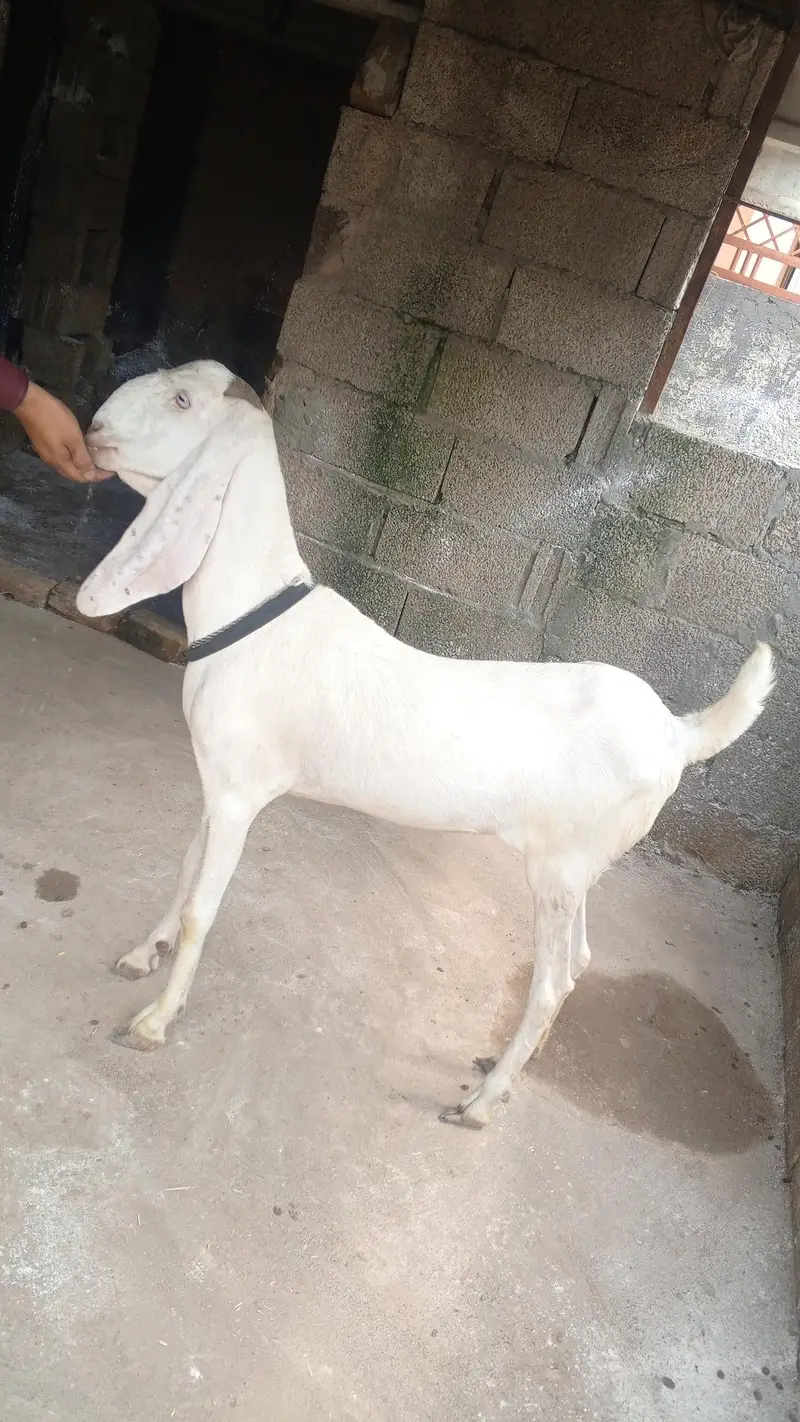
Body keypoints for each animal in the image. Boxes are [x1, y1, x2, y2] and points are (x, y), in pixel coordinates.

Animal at [76, 360, 774, 1128]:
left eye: (181, 400)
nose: (94, 428)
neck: (254, 613)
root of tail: (679, 733)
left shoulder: (240, 795)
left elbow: (204, 908)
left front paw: (154, 1022)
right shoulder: (216, 780)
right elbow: (184, 869)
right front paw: (142, 953)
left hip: (555, 870)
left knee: (554, 981)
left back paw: (481, 1102)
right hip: (584, 864)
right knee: (583, 959)